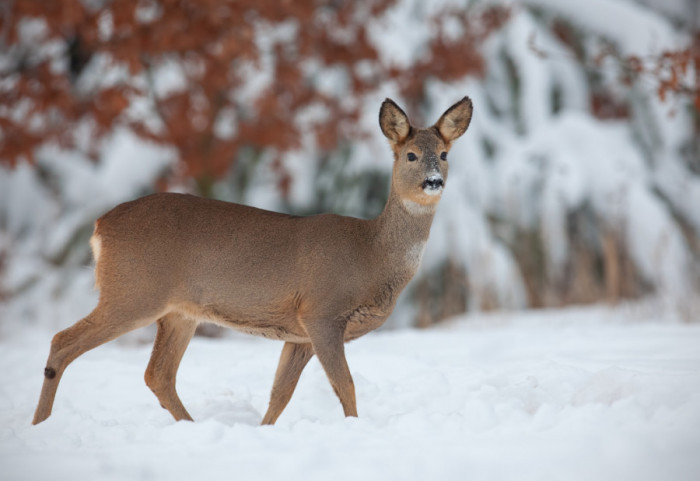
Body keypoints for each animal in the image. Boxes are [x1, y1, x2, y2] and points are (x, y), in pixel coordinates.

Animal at [31, 95, 470, 426]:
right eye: (410, 155)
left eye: (444, 154)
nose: (434, 181)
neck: (371, 254)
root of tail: (100, 226)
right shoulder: (322, 311)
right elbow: (345, 385)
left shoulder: (298, 332)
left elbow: (280, 393)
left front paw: (264, 431)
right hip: (134, 291)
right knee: (62, 341)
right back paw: (41, 424)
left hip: (178, 312)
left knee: (158, 374)